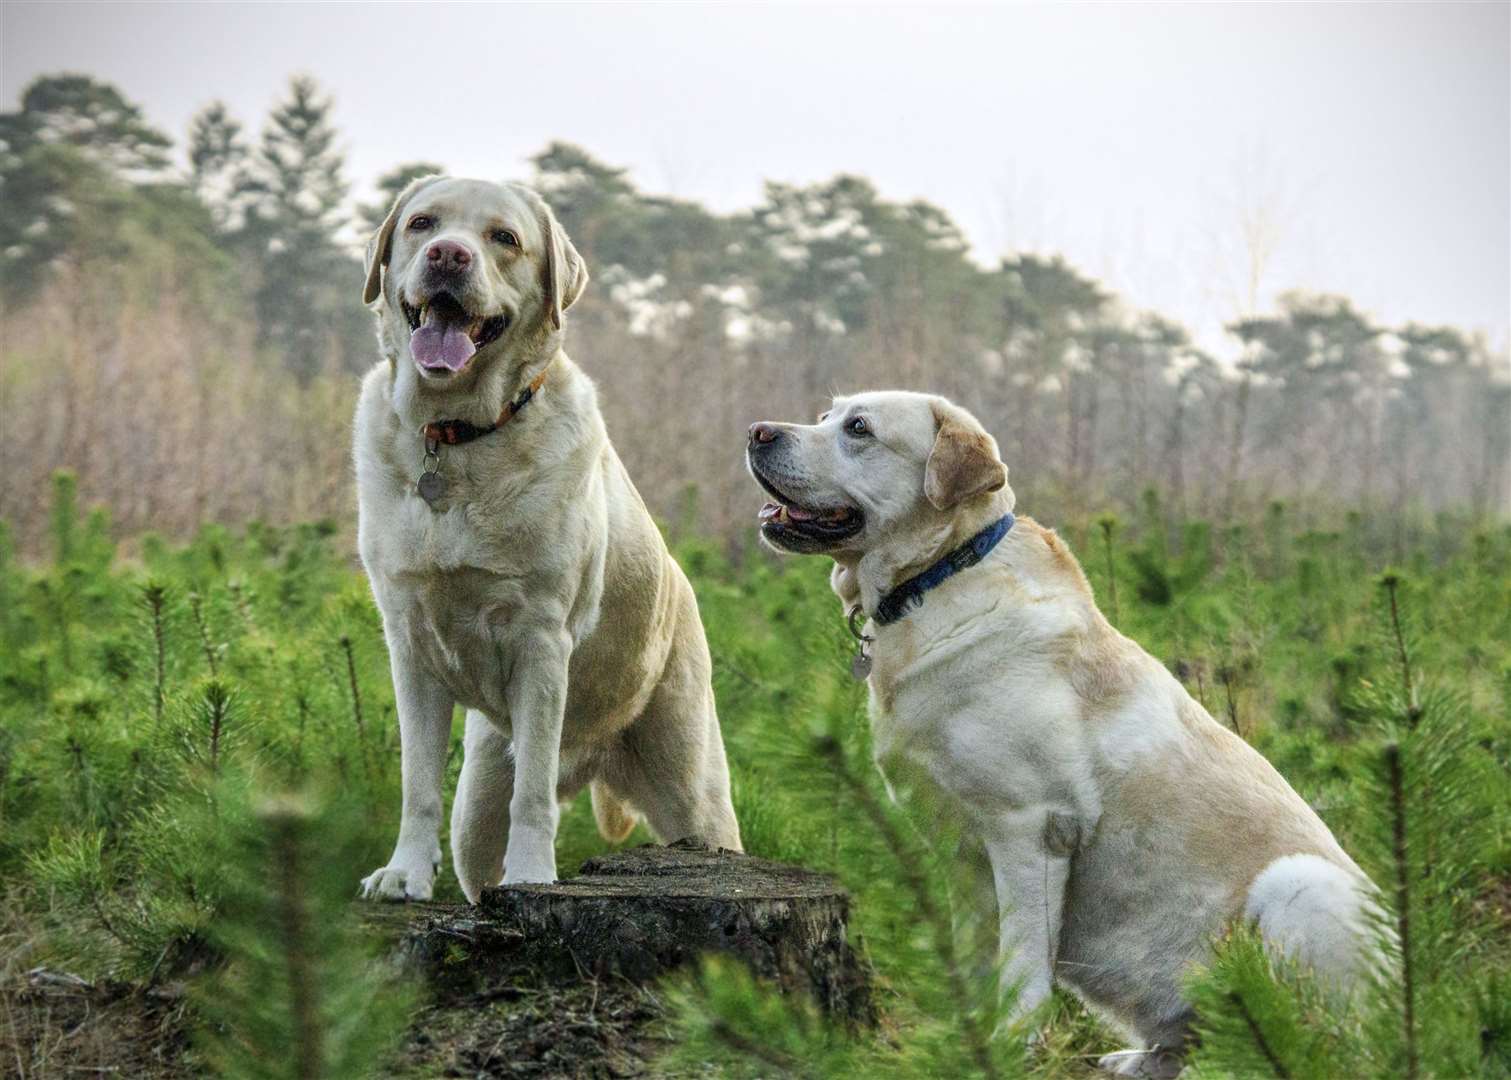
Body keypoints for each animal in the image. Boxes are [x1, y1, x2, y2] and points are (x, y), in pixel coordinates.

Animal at [349, 179, 737, 906]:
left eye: (504, 238)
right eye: (422, 224)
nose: (449, 255)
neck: (459, 436)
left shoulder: (540, 639)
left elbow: (531, 794)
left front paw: (533, 876)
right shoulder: (409, 644)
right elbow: (417, 783)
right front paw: (404, 873)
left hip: (695, 795)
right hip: (476, 805)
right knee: (477, 846)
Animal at [743, 392, 1384, 1075]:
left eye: (859, 429)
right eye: (826, 415)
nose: (757, 432)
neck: (939, 577)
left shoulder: (1032, 828)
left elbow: (1022, 963)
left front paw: (1010, 1044)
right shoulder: (961, 853)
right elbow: (976, 956)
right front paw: (967, 1037)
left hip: (1298, 885)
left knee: (1330, 1047)